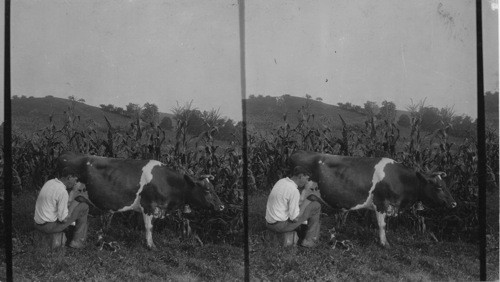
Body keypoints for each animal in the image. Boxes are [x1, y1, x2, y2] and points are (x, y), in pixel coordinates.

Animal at [56, 152, 225, 249]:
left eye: (213, 188)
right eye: (207, 189)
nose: (222, 206)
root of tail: (65, 155)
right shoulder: (148, 206)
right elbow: (149, 227)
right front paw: (151, 246)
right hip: (69, 193)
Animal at [290, 150, 458, 247]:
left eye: (445, 184)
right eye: (438, 186)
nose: (454, 203)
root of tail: (297, 153)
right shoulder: (381, 204)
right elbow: (382, 225)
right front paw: (384, 243)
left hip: (310, 196)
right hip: (301, 192)